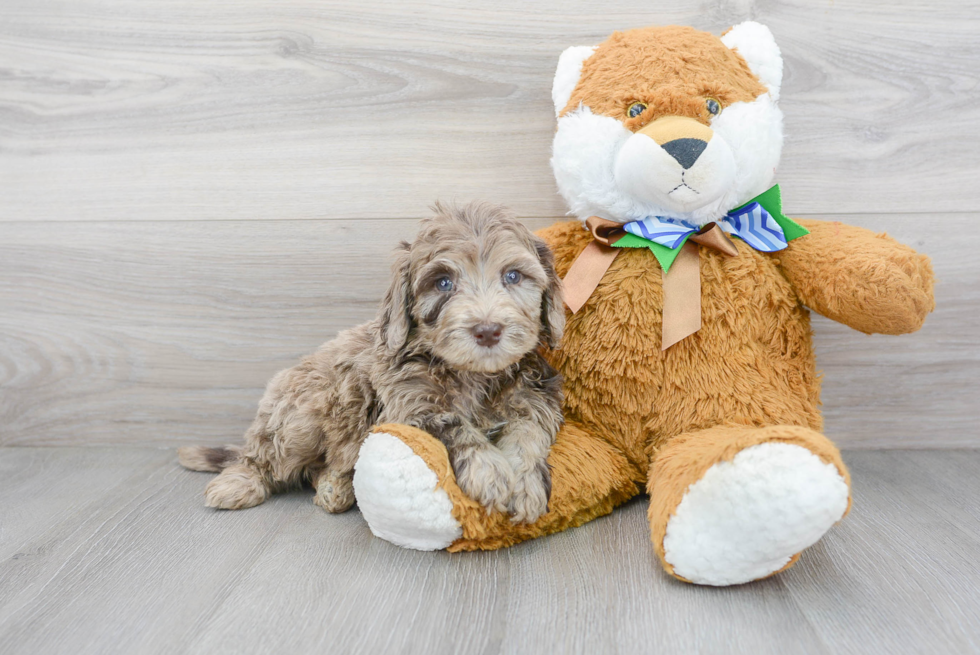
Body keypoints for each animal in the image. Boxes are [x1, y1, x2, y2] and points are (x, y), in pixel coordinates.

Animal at [178, 202, 568, 524]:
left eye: (513, 276)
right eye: (443, 283)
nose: (487, 330)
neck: (473, 375)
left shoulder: (534, 397)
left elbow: (528, 435)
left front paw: (525, 484)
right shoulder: (410, 406)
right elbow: (455, 425)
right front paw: (491, 471)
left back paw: (335, 487)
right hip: (302, 415)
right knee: (265, 457)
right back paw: (242, 482)